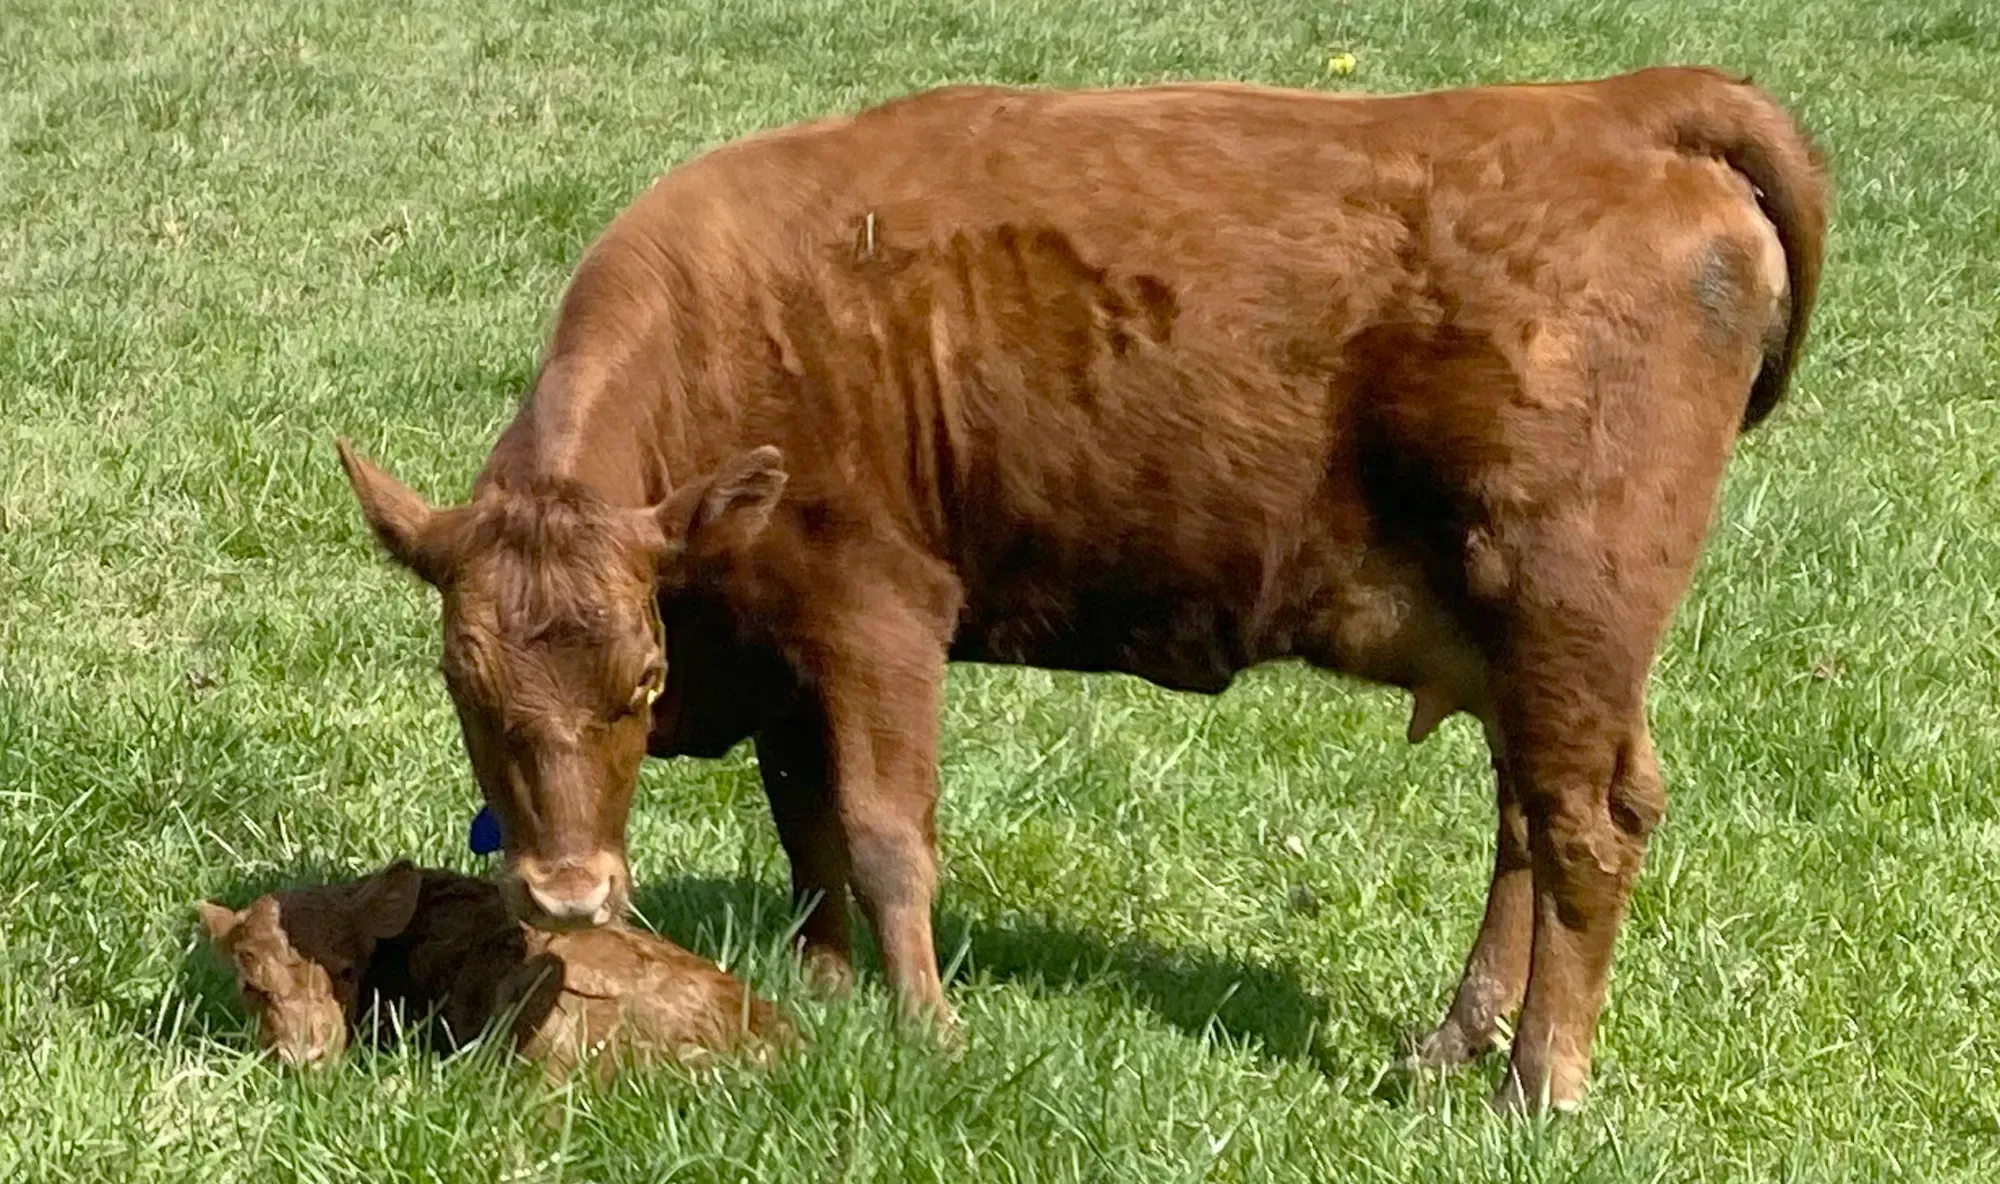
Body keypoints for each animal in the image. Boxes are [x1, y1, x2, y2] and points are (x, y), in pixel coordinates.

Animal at [333, 65, 1825, 1112]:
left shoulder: (877, 613)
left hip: (1568, 608)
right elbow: (808, 832)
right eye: (463, 681)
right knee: (1530, 815)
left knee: (1583, 827)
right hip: (1518, 641)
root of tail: (1622, 105)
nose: (569, 895)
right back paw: (1457, 1041)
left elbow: (883, 834)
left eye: (639, 680)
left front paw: (927, 1028)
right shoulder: (790, 646)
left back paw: (1539, 1080)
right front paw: (821, 989)